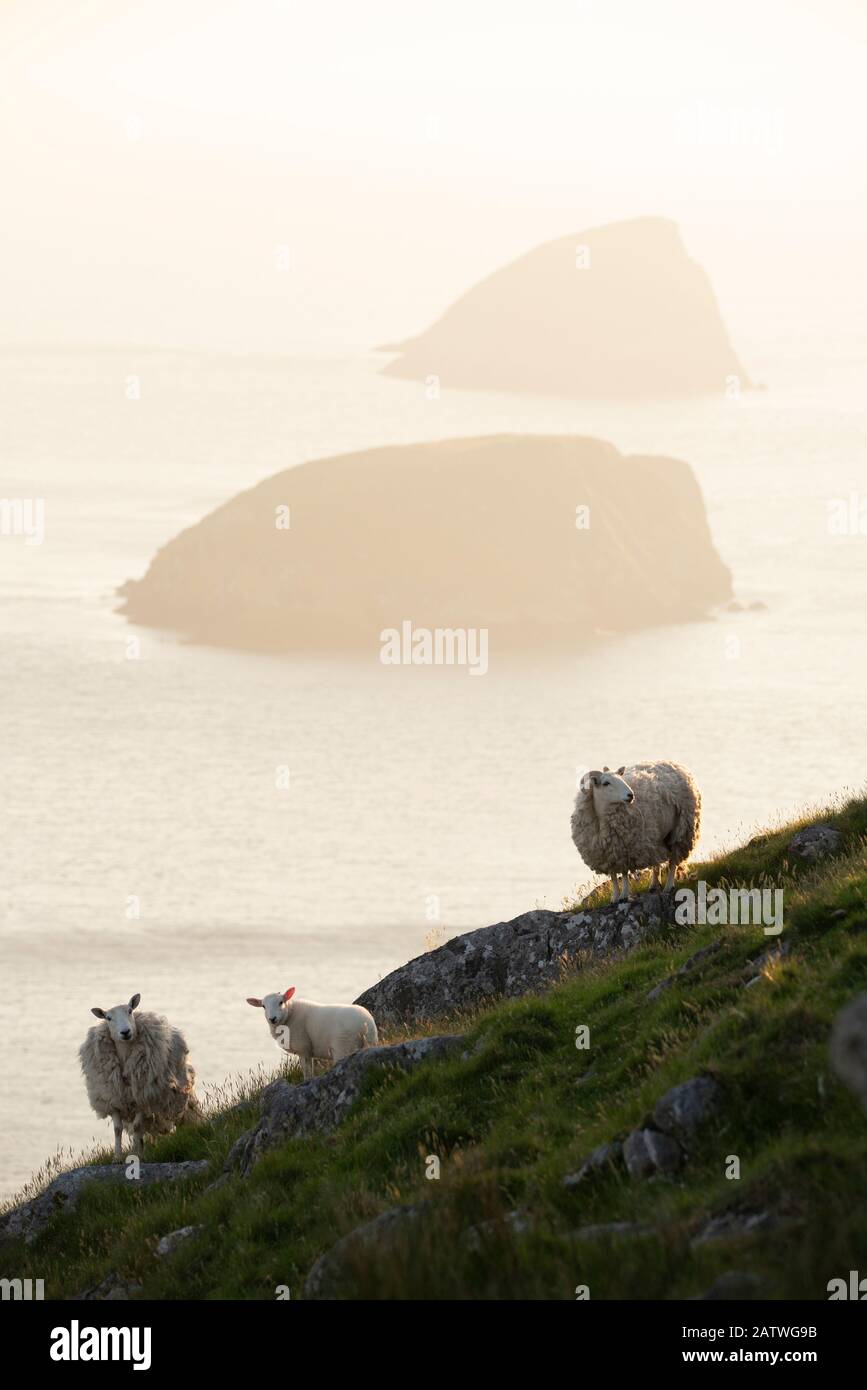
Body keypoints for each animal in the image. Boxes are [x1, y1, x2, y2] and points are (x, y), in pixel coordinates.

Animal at [78, 989, 202, 1162]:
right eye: (108, 1018)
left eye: (130, 1011)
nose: (125, 1032)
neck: (124, 1057)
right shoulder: (114, 1098)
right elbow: (118, 1129)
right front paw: (117, 1158)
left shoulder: (143, 1097)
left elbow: (137, 1127)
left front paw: (136, 1155)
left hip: (175, 1096)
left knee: (179, 1116)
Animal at [245, 984, 377, 1078]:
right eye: (263, 1006)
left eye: (281, 1002)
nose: (272, 1019)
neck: (290, 1015)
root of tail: (365, 1024)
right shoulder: (308, 1051)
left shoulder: (303, 1048)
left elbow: (306, 1071)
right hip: (370, 1041)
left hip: (344, 1047)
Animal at [572, 761, 700, 900]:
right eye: (606, 783)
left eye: (621, 778)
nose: (631, 795)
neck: (601, 821)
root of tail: (676, 764)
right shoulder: (608, 853)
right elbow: (613, 876)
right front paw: (614, 897)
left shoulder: (624, 848)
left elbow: (624, 874)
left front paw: (624, 895)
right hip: (655, 837)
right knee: (657, 860)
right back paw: (654, 885)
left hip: (682, 831)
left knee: (673, 861)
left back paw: (668, 886)